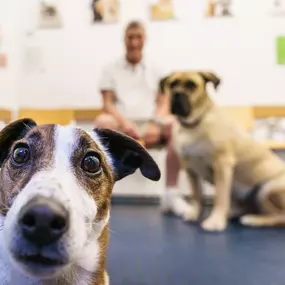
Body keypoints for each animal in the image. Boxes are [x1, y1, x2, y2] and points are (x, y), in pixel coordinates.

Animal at [160, 71, 285, 231]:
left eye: (191, 85)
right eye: (172, 84)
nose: (177, 94)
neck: (193, 125)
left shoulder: (222, 165)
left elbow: (220, 197)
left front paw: (215, 221)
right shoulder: (190, 169)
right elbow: (196, 195)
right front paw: (194, 214)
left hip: (267, 189)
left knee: (280, 217)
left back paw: (253, 220)